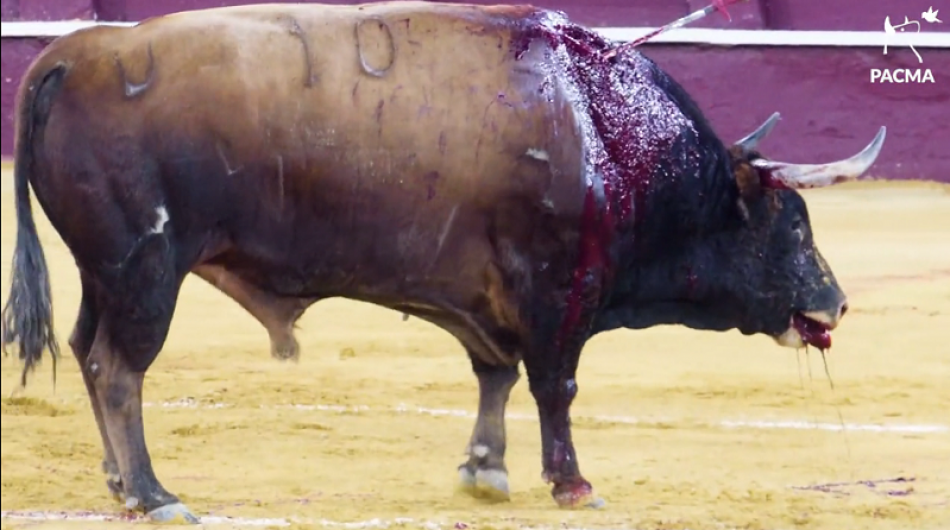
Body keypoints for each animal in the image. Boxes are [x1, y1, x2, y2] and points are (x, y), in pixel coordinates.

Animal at [3, 0, 888, 520]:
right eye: (793, 226)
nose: (837, 303)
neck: (608, 137)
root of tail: (76, 54)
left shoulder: (481, 297)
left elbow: (495, 375)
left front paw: (485, 469)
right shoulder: (557, 292)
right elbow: (555, 387)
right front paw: (571, 484)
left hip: (105, 274)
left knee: (86, 353)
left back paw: (119, 483)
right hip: (145, 269)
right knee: (121, 368)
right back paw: (155, 494)